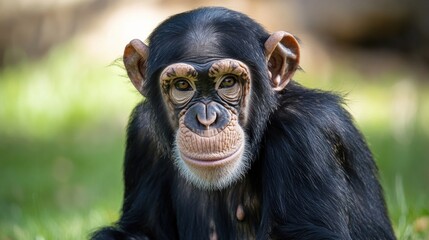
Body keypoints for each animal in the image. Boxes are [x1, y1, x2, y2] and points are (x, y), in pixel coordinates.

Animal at [92, 6, 396, 239]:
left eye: (228, 82)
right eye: (182, 85)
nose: (206, 118)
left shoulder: (306, 133)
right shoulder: (142, 135)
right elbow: (141, 230)